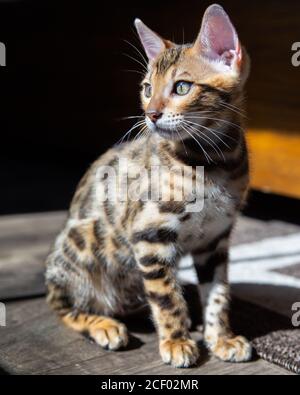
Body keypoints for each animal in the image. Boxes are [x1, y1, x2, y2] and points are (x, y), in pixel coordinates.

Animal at [45, 4, 252, 368]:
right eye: (146, 89)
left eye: (182, 87)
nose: (151, 114)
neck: (214, 162)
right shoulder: (150, 233)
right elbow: (167, 298)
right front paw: (176, 342)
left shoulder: (215, 239)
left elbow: (218, 292)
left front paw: (220, 337)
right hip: (81, 239)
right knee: (62, 305)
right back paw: (103, 325)